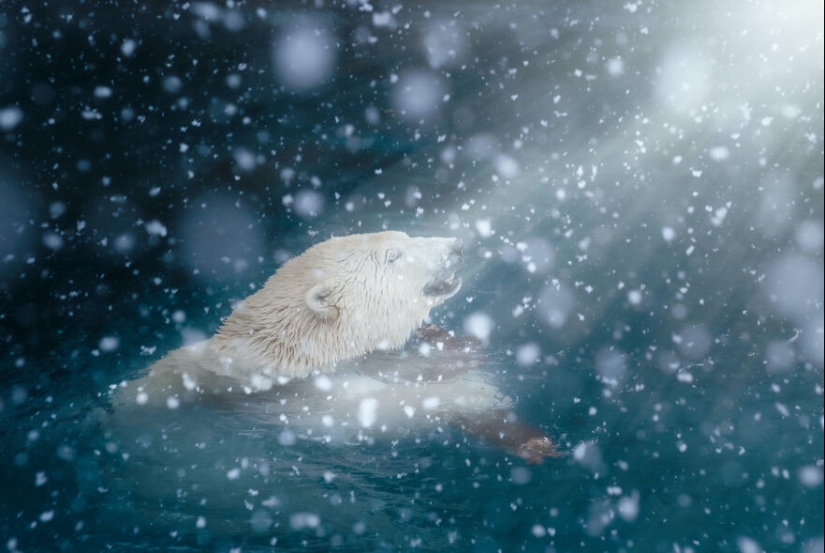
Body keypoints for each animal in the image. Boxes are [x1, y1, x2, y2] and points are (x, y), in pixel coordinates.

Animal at [109, 231, 559, 463]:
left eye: (405, 234)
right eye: (394, 254)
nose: (457, 245)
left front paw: (445, 342)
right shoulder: (300, 400)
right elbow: (382, 410)